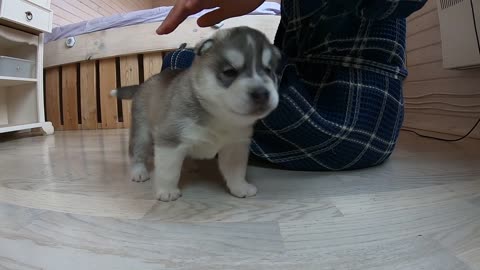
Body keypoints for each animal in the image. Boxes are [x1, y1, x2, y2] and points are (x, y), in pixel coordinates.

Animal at [111, 26, 282, 201]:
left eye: (269, 70)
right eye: (229, 72)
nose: (262, 93)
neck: (218, 116)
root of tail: (142, 84)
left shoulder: (236, 145)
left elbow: (236, 171)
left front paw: (240, 187)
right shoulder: (170, 139)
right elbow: (168, 171)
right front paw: (167, 191)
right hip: (142, 131)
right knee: (137, 152)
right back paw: (139, 172)